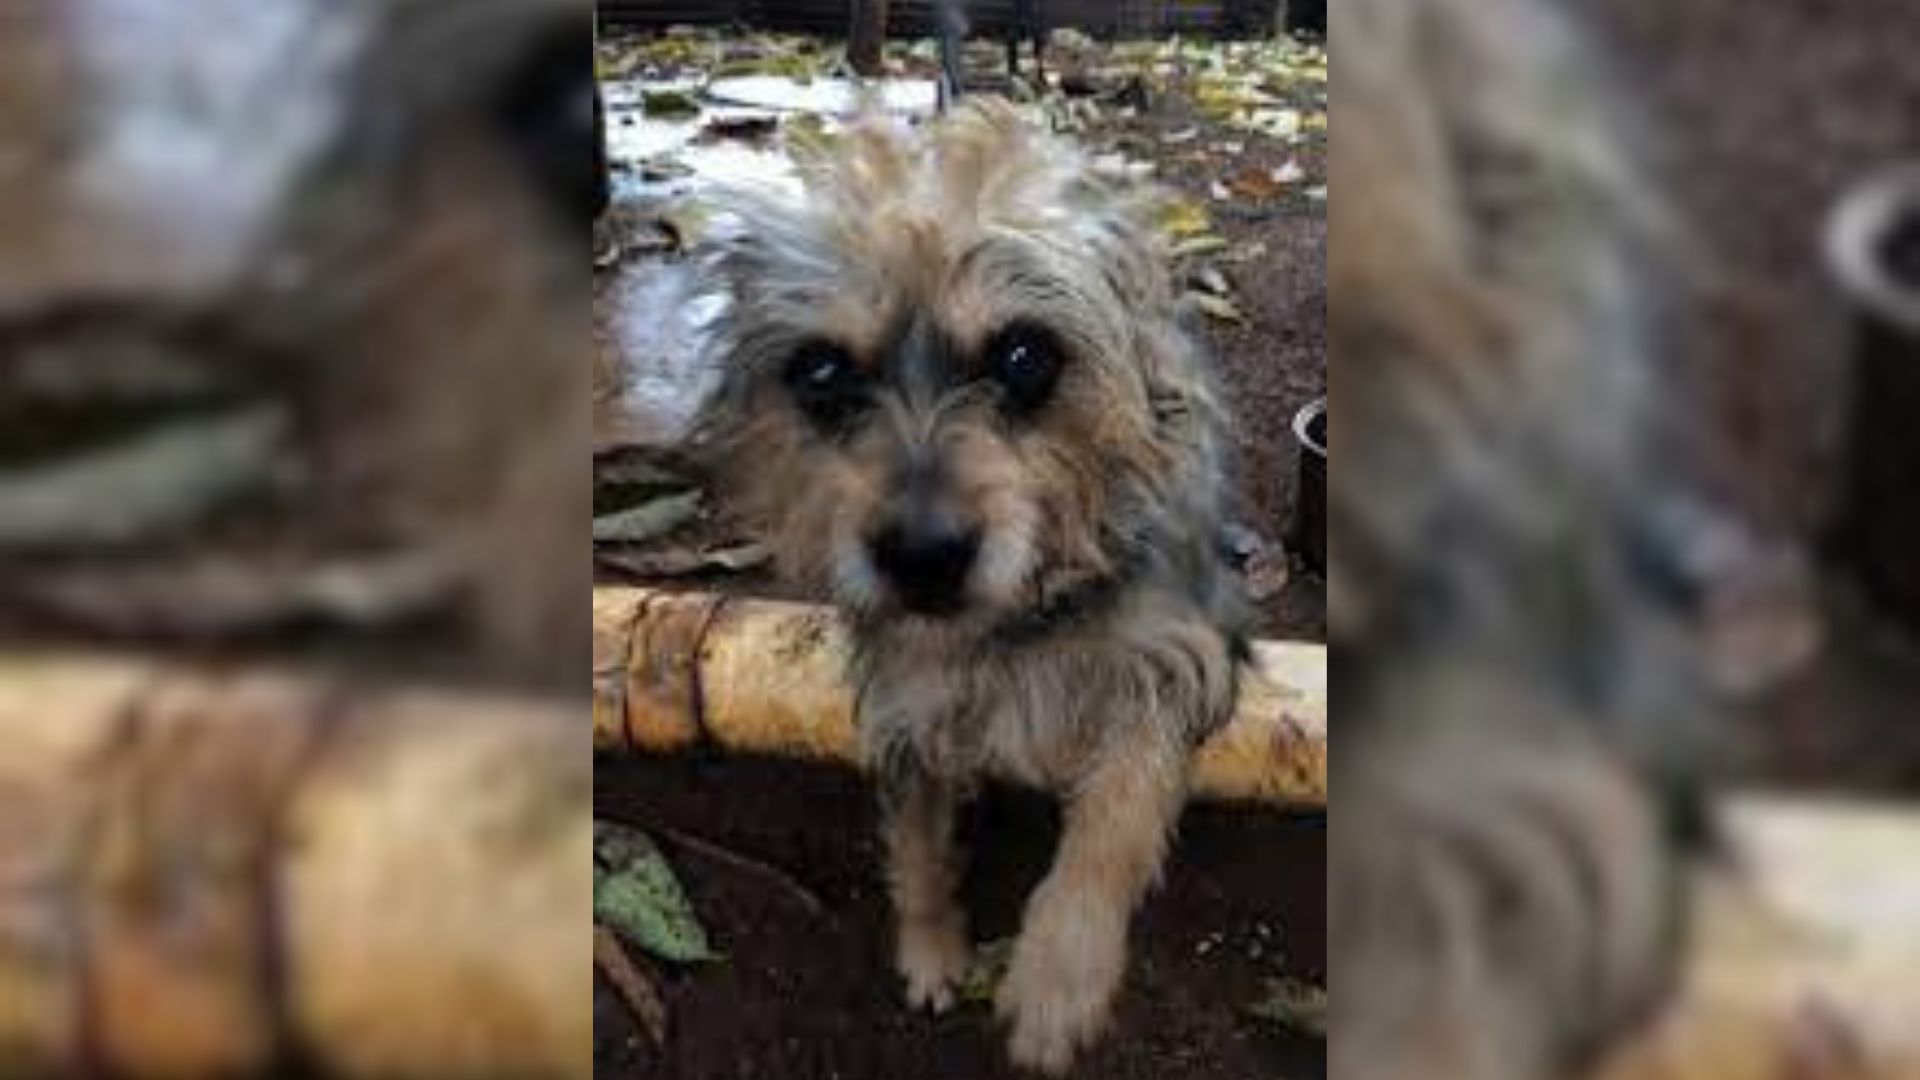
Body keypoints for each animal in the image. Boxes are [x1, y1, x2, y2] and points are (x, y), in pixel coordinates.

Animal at [687, 98, 1244, 1068]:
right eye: (821, 371)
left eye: (1025, 356)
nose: (923, 557)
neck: (1015, 623)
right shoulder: (909, 707)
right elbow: (916, 845)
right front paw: (932, 950)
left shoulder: (1180, 658)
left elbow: (1120, 810)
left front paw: (1060, 972)